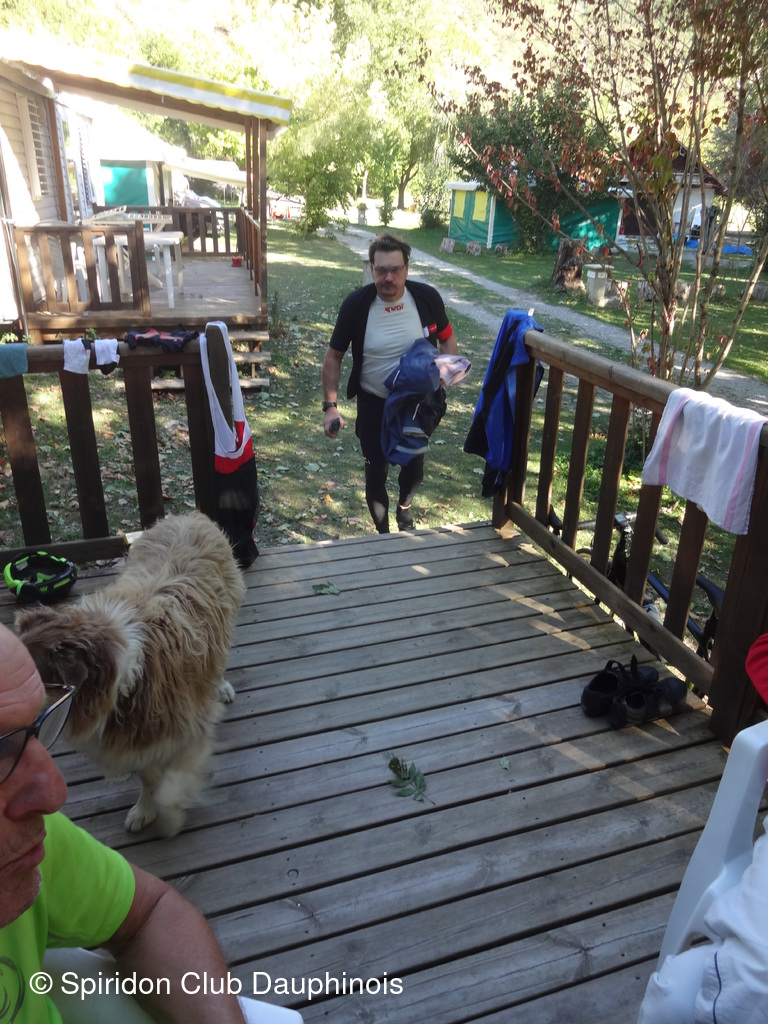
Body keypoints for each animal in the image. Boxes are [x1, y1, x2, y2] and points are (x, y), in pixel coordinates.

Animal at [16, 511, 246, 836]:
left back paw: (221, 686)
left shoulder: (190, 726)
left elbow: (170, 786)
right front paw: (144, 808)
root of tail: (187, 515)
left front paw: (170, 816)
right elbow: (148, 777)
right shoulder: (140, 734)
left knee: (218, 660)